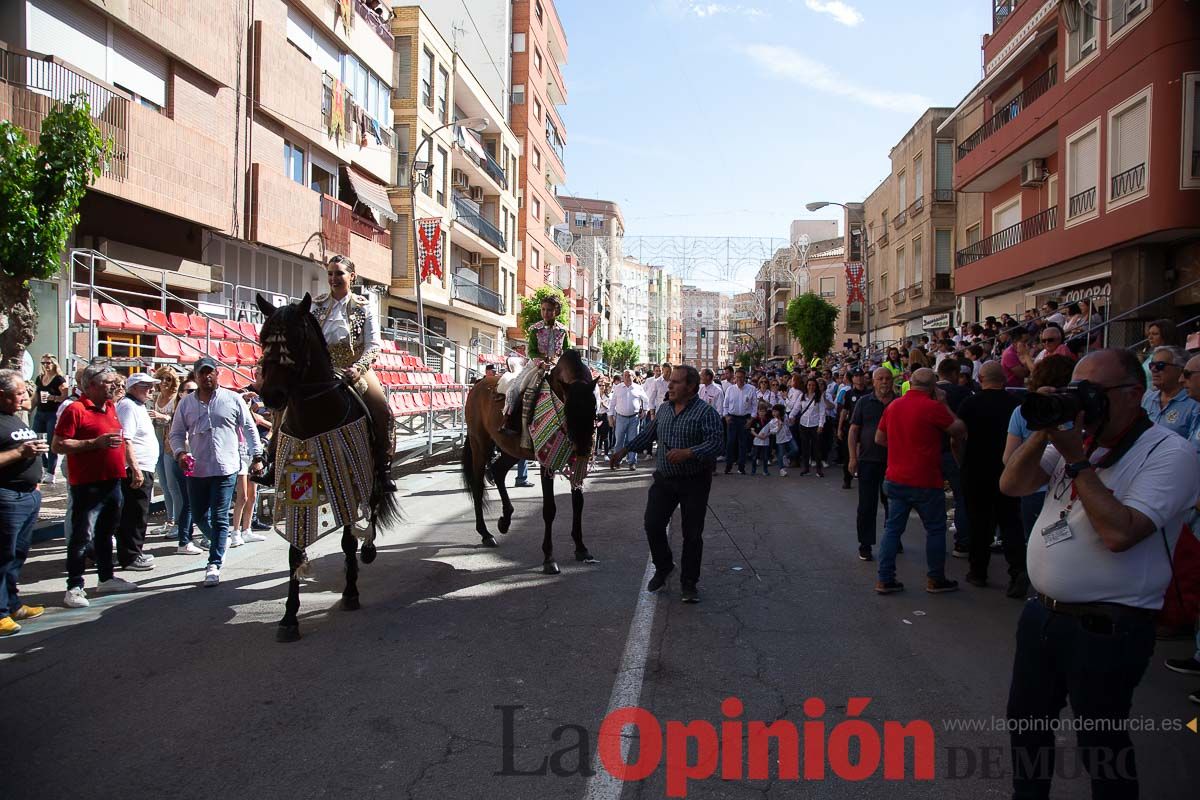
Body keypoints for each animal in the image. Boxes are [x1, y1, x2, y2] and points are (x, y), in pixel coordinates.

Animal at [254, 296, 400, 642]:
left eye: (297, 339)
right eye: (263, 338)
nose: (272, 395)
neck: (314, 416)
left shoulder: (348, 481)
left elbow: (348, 539)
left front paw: (351, 593)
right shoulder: (294, 487)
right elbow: (295, 552)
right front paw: (289, 618)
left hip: (372, 477)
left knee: (373, 510)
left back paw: (368, 551)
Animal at [465, 347, 604, 573]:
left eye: (593, 409)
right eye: (568, 410)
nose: (583, 448)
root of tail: (477, 385)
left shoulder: (575, 463)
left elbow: (578, 503)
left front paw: (581, 548)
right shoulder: (546, 462)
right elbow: (549, 509)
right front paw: (549, 558)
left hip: (512, 450)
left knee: (498, 471)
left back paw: (505, 521)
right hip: (480, 445)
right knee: (478, 486)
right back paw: (485, 534)